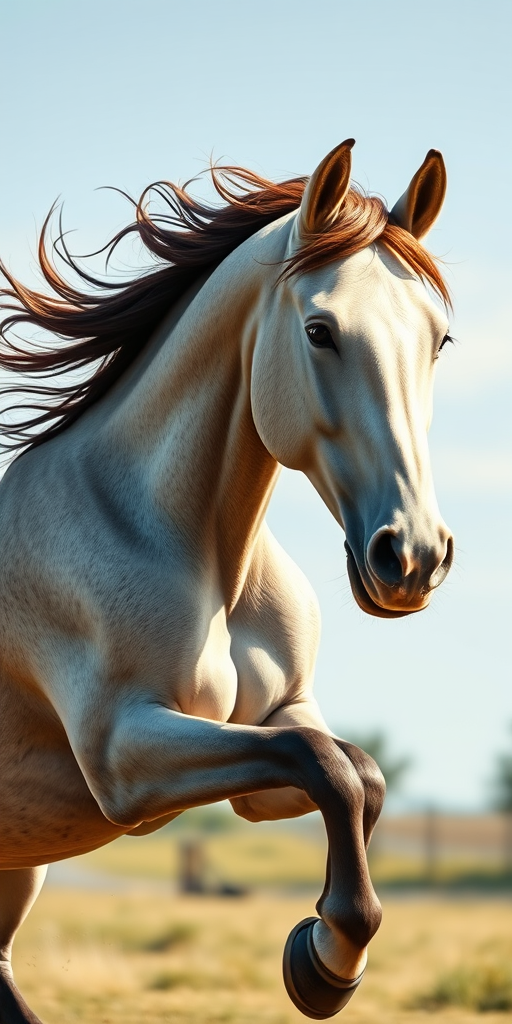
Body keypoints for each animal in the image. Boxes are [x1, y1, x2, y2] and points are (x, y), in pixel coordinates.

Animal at [0, 140, 454, 1022]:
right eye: (320, 330)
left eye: (440, 340)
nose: (412, 557)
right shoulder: (127, 757)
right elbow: (326, 765)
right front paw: (326, 963)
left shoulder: (267, 741)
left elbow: (355, 772)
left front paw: (325, 949)